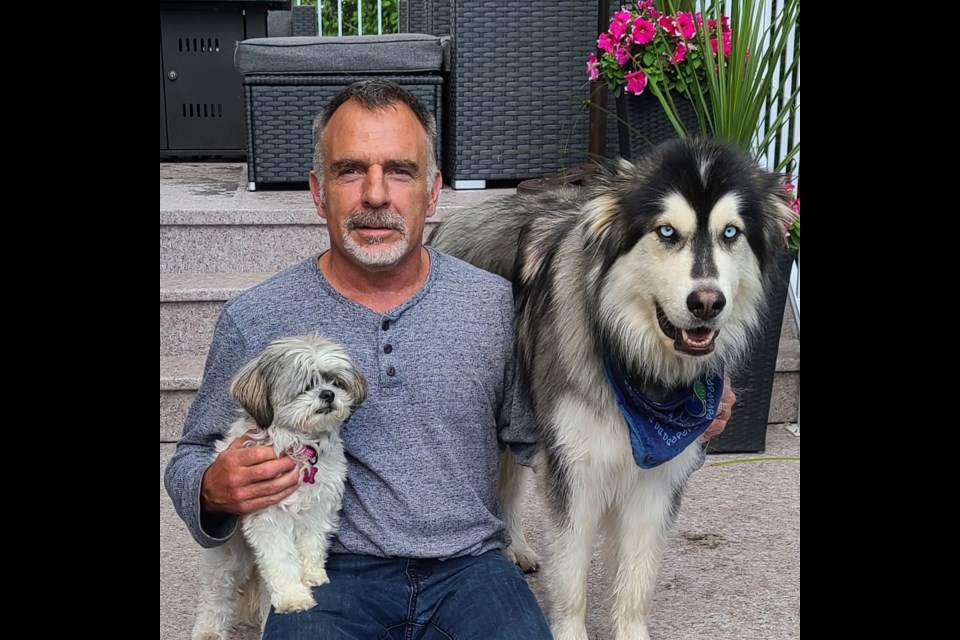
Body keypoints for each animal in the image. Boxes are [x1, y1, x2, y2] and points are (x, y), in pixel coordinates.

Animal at [191, 336, 368, 640]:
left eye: (335, 382)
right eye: (305, 385)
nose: (327, 395)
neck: (301, 445)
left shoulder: (319, 506)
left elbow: (312, 543)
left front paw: (311, 574)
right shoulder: (268, 516)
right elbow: (281, 559)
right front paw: (293, 597)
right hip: (230, 558)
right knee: (217, 594)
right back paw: (208, 631)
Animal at [432, 138, 792, 636]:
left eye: (731, 233)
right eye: (666, 232)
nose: (707, 303)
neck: (638, 369)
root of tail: (450, 223)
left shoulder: (657, 481)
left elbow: (636, 579)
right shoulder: (574, 468)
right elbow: (572, 576)